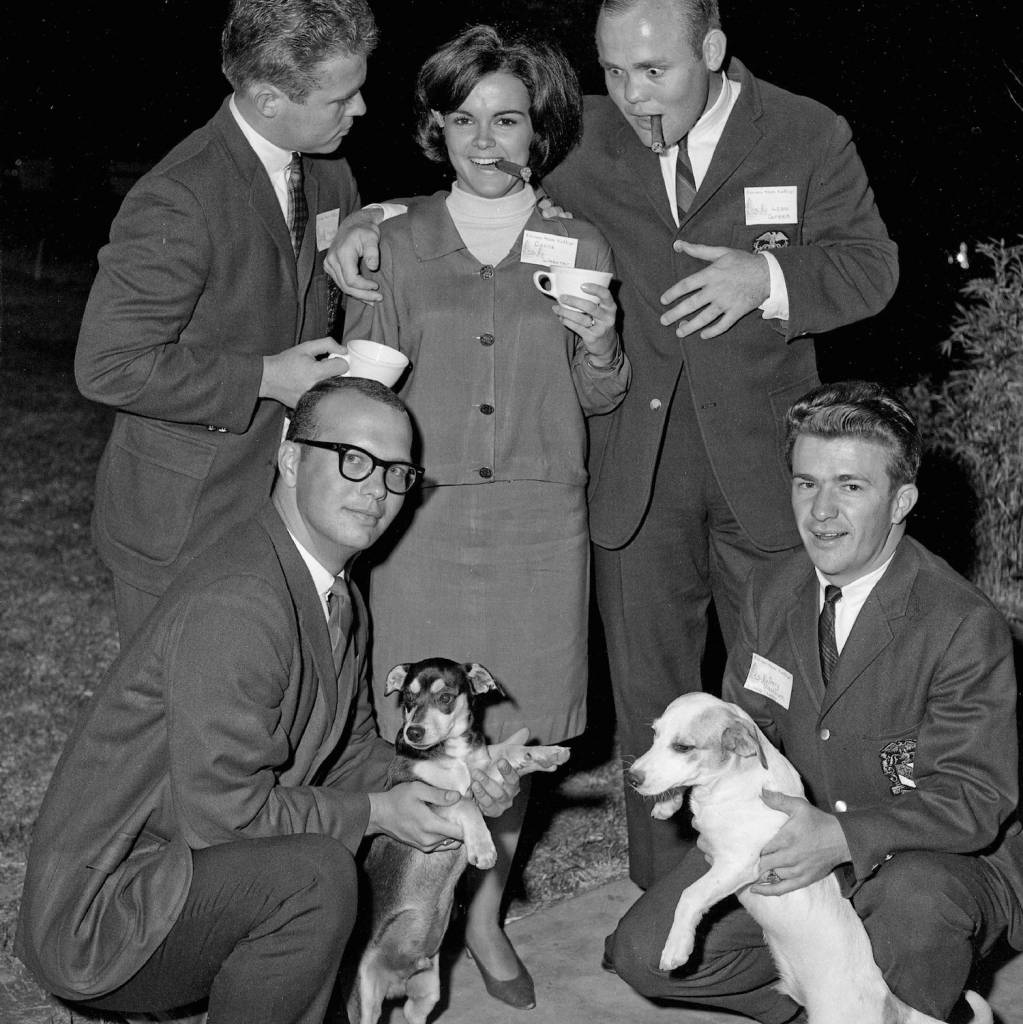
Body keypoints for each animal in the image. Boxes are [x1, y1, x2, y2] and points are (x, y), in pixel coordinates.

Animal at [630, 692, 991, 1024]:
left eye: (683, 747)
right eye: (655, 734)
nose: (632, 778)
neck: (730, 784)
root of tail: (892, 1005)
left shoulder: (739, 863)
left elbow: (690, 895)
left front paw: (676, 948)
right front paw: (667, 804)